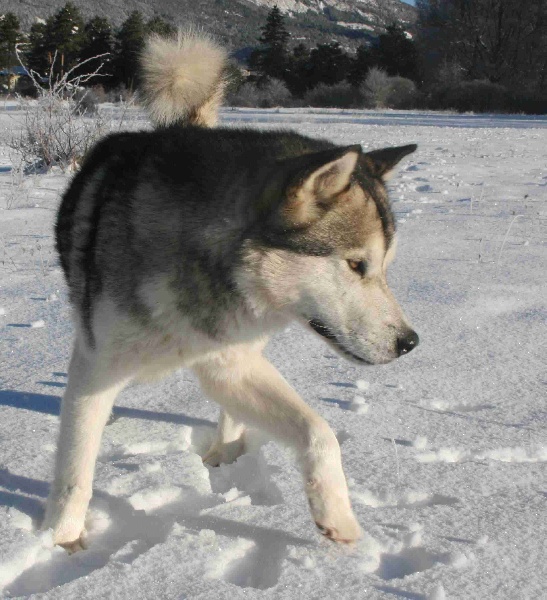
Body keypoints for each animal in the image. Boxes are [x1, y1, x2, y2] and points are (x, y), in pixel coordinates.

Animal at [46, 31, 420, 548]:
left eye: (384, 267)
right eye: (355, 265)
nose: (409, 342)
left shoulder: (230, 361)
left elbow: (320, 433)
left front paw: (338, 520)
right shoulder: (95, 369)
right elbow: (75, 476)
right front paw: (61, 545)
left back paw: (223, 456)